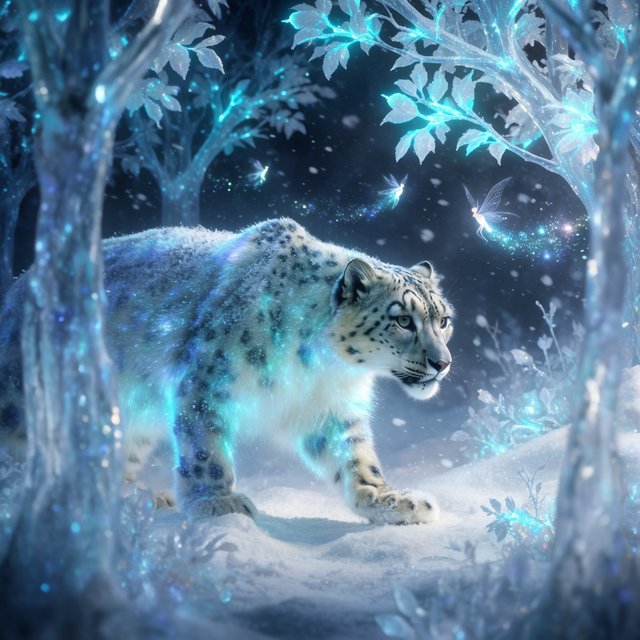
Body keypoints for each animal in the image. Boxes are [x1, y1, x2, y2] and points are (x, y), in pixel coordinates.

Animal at [0, 218, 454, 525]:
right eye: (403, 320)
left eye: (443, 320)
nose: (443, 362)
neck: (323, 367)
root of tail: (17, 286)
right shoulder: (205, 379)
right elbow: (205, 450)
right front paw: (216, 502)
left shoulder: (332, 409)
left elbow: (356, 459)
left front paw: (389, 500)